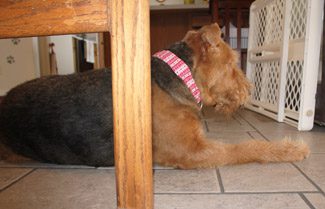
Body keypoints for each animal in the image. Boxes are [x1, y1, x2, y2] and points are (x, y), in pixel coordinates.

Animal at [0, 23, 308, 168]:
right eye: (233, 63)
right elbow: (246, 148)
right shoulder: (191, 151)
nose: (248, 91)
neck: (179, 76)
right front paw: (292, 149)